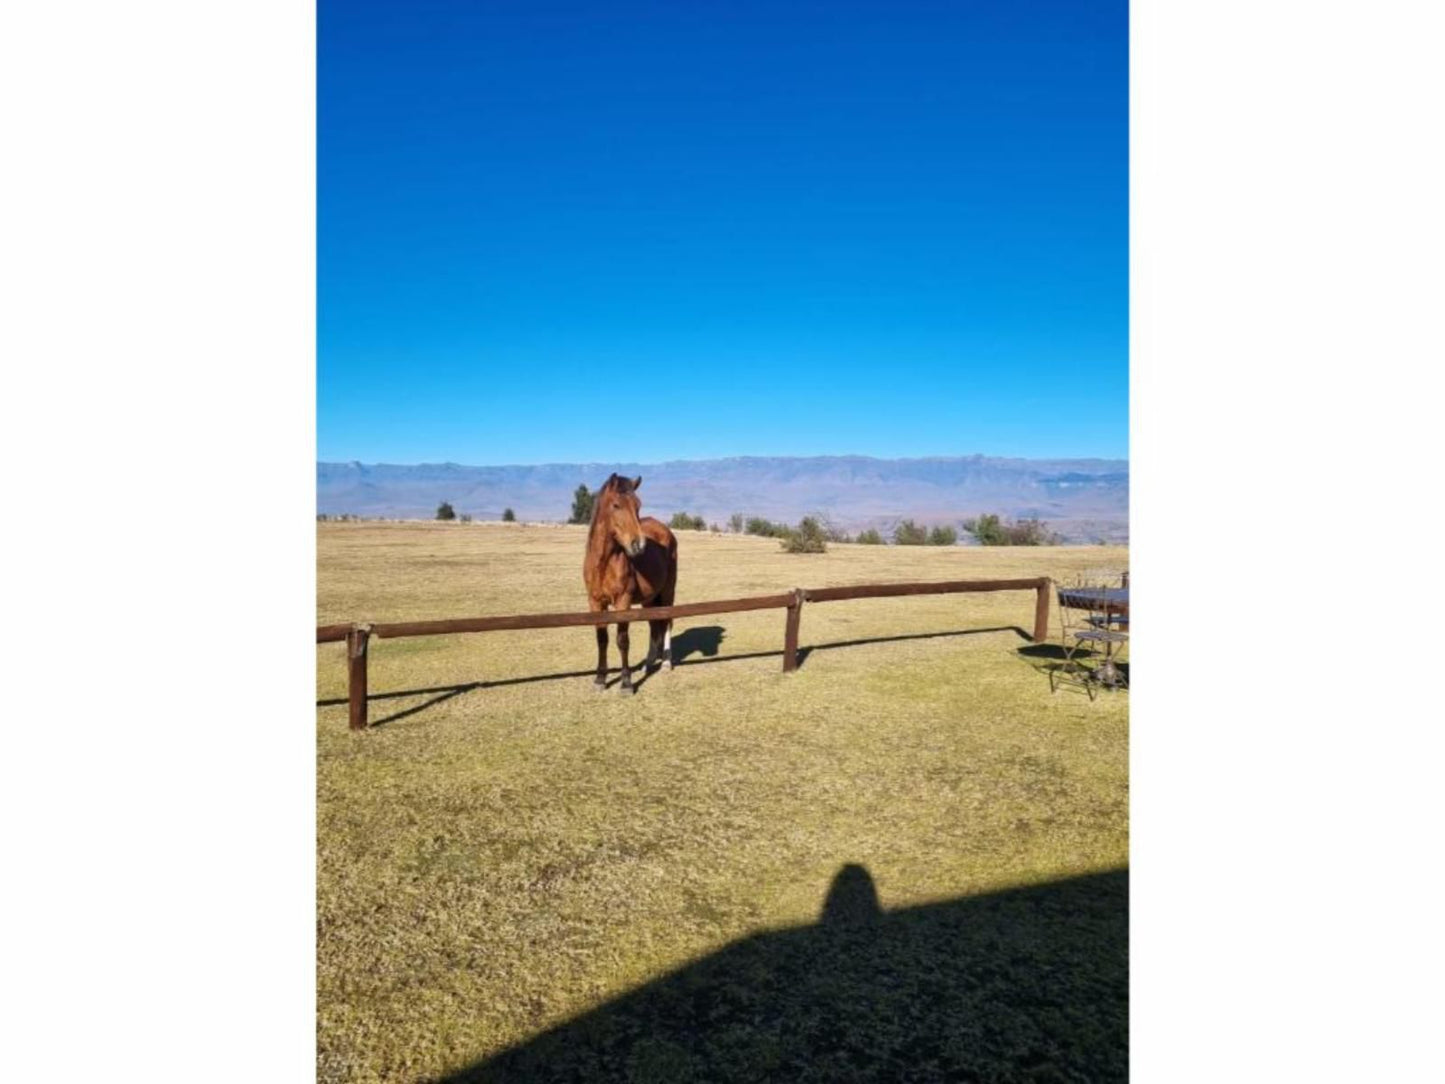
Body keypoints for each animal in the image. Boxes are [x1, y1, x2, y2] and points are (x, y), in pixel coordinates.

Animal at [580, 474, 676, 696]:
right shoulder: (595, 602)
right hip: (650, 599)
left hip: (667, 592)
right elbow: (602, 639)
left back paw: (666, 663)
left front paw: (626, 683)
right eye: (616, 505)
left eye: (638, 506)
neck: (604, 563)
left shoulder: (623, 602)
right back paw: (648, 664)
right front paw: (600, 679)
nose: (638, 545)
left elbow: (622, 640)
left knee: (667, 621)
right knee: (654, 626)